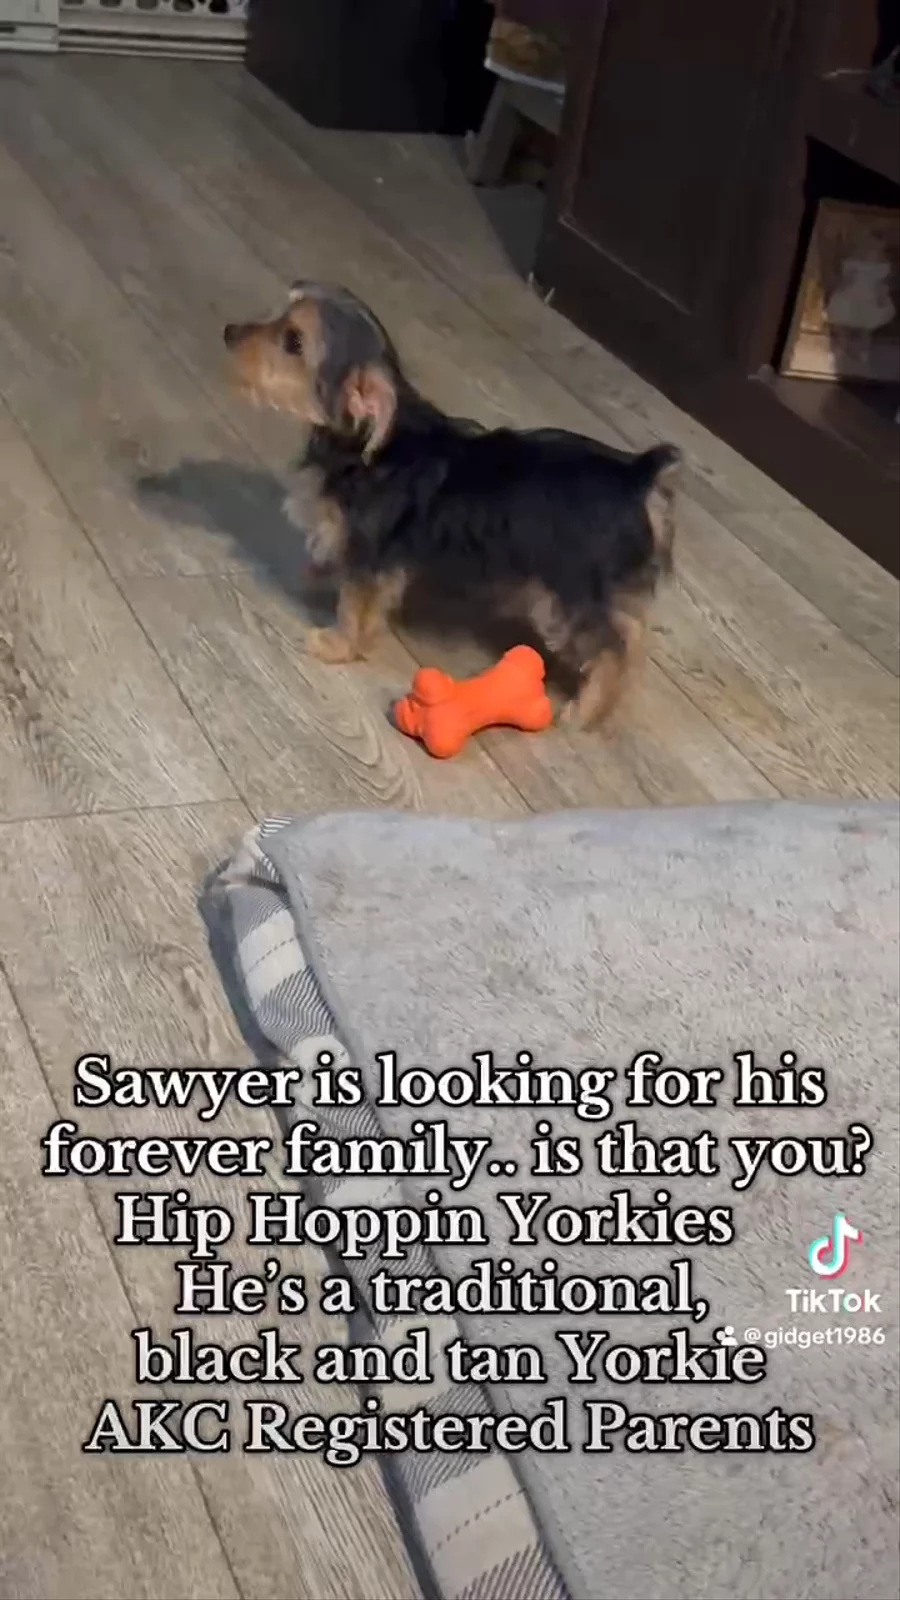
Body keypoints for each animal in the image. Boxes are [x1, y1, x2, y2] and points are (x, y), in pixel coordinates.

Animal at [223, 280, 680, 728]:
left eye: (293, 341)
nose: (229, 332)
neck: (359, 441)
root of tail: (636, 477)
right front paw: (313, 575)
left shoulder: (371, 558)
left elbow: (354, 605)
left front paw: (336, 644)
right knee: (629, 633)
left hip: (568, 595)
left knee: (613, 650)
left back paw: (585, 711)